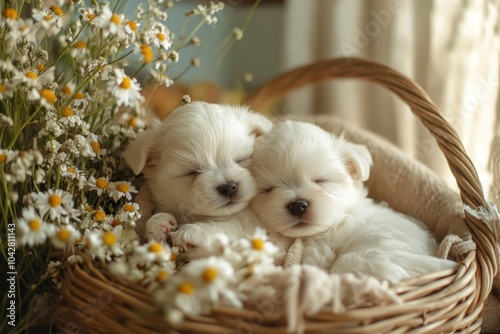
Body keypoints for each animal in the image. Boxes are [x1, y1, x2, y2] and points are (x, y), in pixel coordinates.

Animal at [121, 100, 272, 247]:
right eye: (190, 172)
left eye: (241, 159)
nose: (229, 187)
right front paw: (159, 225)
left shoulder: (251, 225)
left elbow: (229, 226)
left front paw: (192, 232)